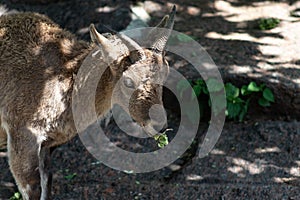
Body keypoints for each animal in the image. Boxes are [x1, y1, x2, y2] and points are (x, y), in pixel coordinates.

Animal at [0, 5, 176, 198]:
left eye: (166, 73)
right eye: (128, 81)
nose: (160, 124)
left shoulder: (47, 145)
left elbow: (47, 181)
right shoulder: (23, 135)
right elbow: (32, 187)